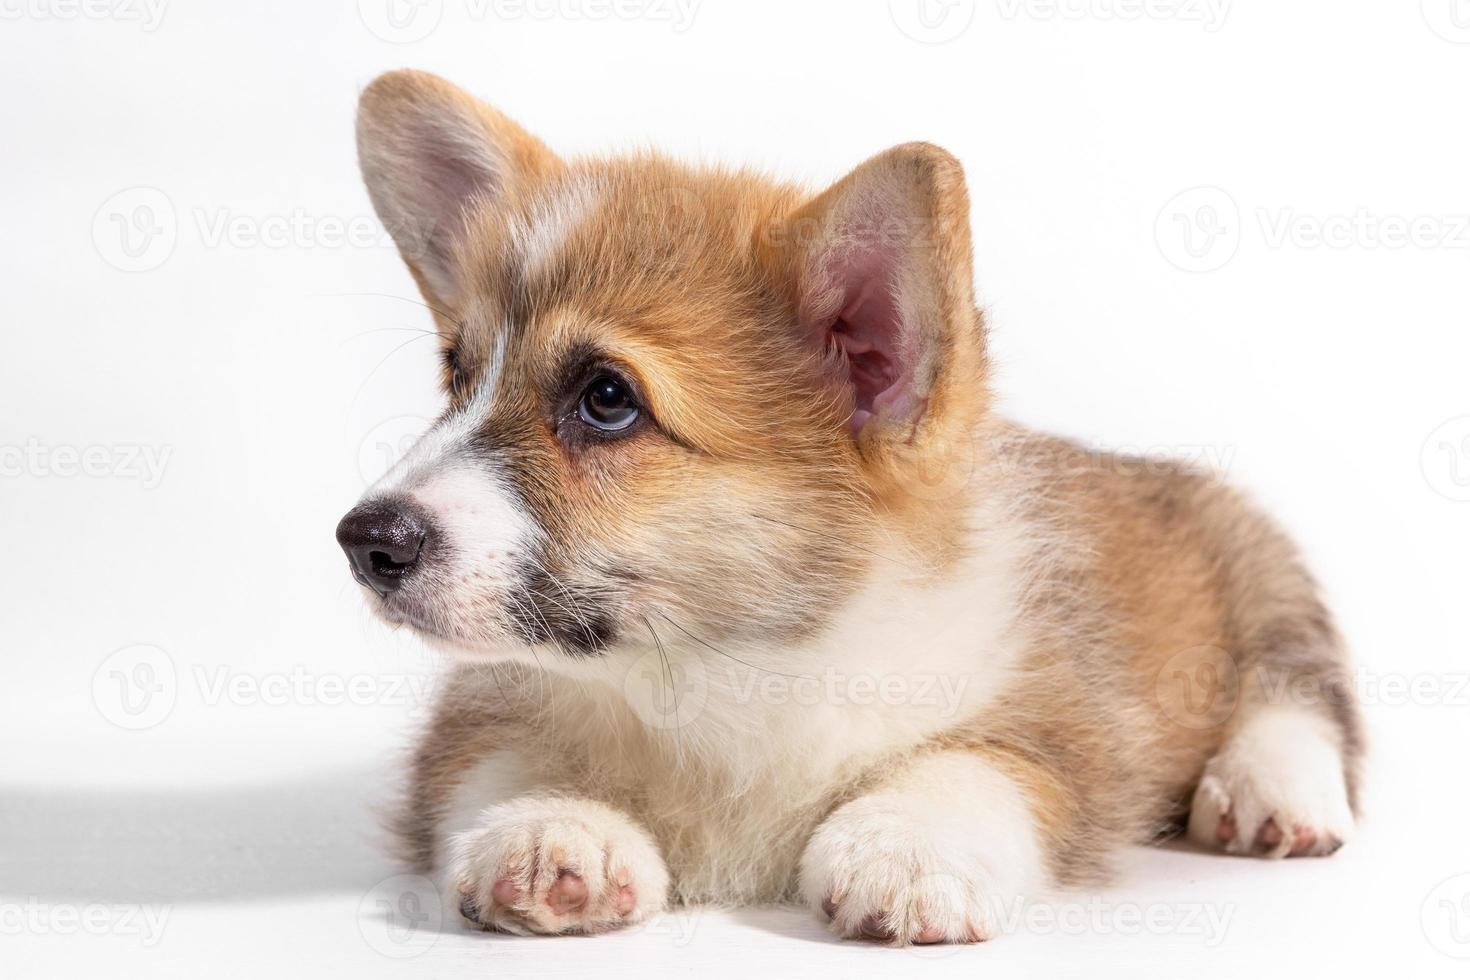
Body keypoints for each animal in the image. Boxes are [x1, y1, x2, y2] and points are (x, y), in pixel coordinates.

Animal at [338, 67, 1358, 940]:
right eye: (457, 375)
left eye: (607, 398)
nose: (363, 541)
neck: (715, 668)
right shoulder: (469, 723)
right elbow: (498, 761)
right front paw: (551, 829)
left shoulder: (1066, 725)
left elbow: (981, 761)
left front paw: (907, 850)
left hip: (1258, 566)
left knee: (1299, 692)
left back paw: (1273, 794)